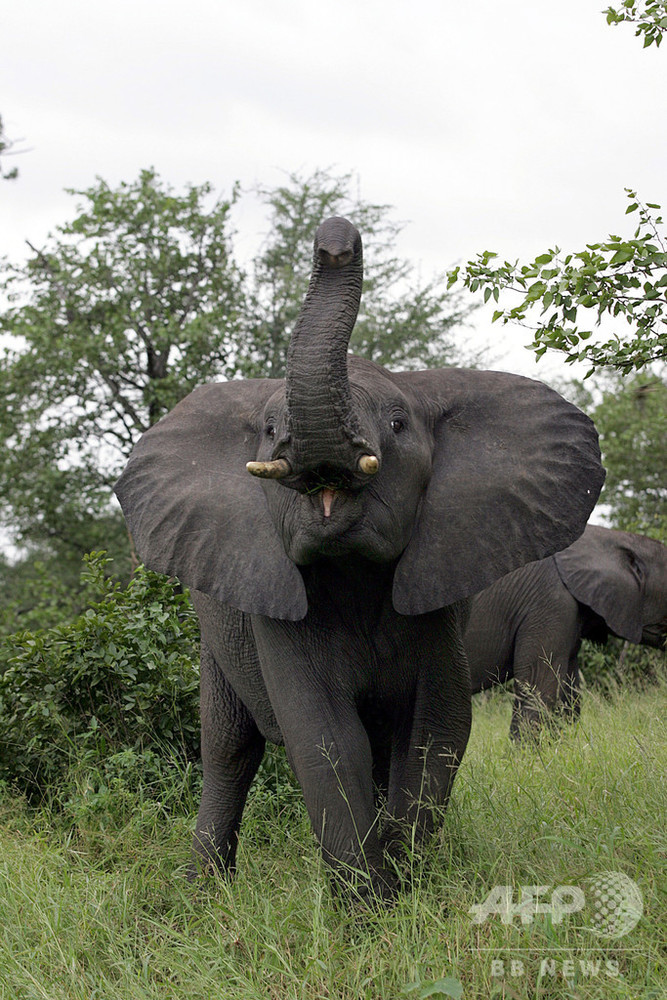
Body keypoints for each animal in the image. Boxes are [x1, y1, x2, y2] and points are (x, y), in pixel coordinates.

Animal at [115, 213, 604, 900]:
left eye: (399, 424)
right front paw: (368, 907)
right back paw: (203, 898)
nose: (335, 238)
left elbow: (434, 728)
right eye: (269, 431)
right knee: (229, 750)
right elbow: (323, 737)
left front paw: (405, 890)